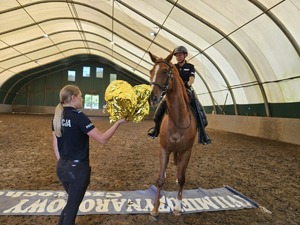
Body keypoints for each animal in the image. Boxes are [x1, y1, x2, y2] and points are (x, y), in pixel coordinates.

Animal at [149, 51, 198, 218]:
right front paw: (155, 209)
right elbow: (160, 179)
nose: (152, 99)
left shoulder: (187, 151)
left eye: (165, 71)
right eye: (151, 72)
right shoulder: (164, 149)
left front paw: (178, 207)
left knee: (180, 170)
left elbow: (182, 178)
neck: (178, 118)